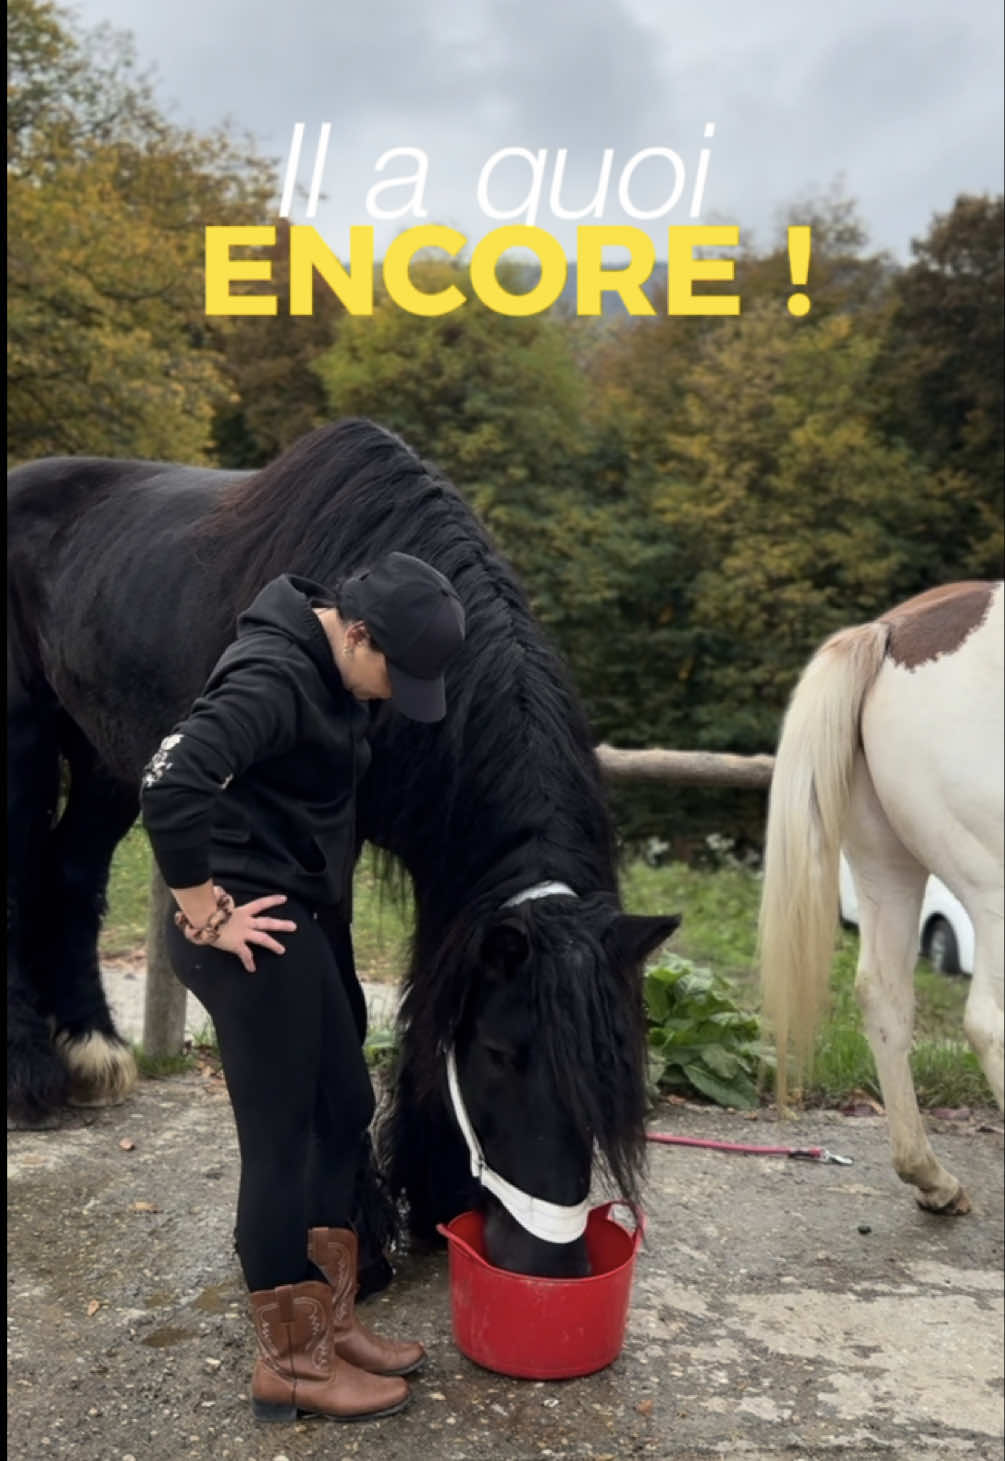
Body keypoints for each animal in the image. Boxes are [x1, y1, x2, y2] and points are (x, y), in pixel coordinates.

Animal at [7, 418, 679, 1279]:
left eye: (619, 1063)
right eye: (501, 1053)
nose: (545, 1264)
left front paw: (432, 1194)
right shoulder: (333, 845)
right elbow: (349, 1012)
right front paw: (356, 1230)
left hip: (107, 758)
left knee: (70, 872)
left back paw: (93, 1049)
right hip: (25, 734)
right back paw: (32, 1072)